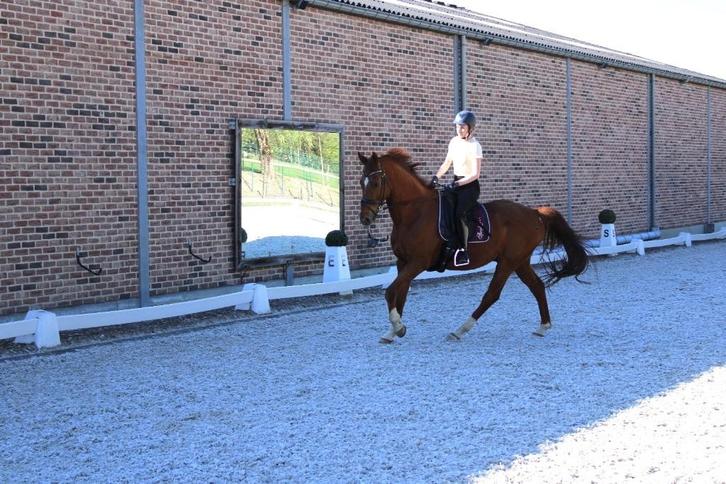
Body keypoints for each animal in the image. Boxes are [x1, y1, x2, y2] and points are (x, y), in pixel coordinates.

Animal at [358, 148, 590, 344]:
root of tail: (535, 213)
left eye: (375, 182)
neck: (414, 213)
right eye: (361, 181)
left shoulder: (418, 262)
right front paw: (393, 331)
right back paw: (543, 326)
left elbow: (390, 292)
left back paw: (460, 330)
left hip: (508, 262)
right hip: (520, 261)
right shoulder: (403, 262)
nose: (365, 219)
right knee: (537, 286)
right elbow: (401, 294)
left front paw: (397, 327)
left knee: (492, 295)